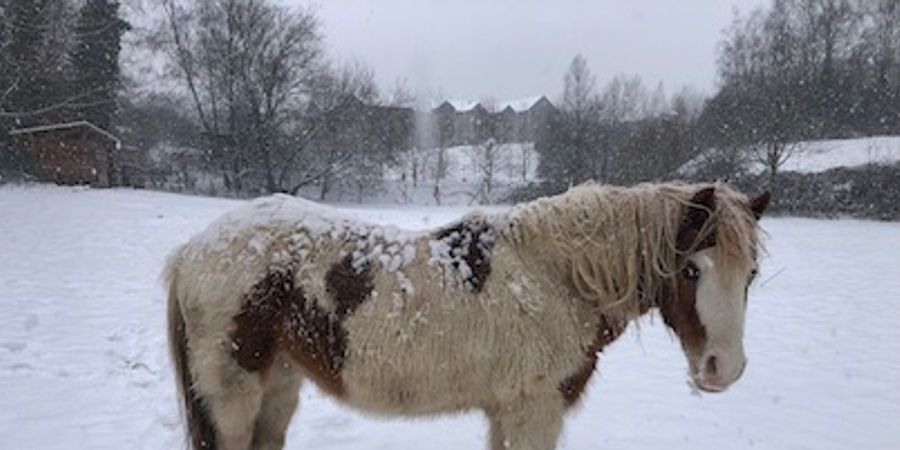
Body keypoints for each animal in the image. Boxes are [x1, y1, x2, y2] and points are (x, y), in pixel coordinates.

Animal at [165, 182, 768, 450]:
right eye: (691, 270)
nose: (724, 368)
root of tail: (193, 250)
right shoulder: (533, 411)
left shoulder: (508, 411)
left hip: (278, 389)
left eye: (752, 274)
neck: (556, 275)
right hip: (233, 397)